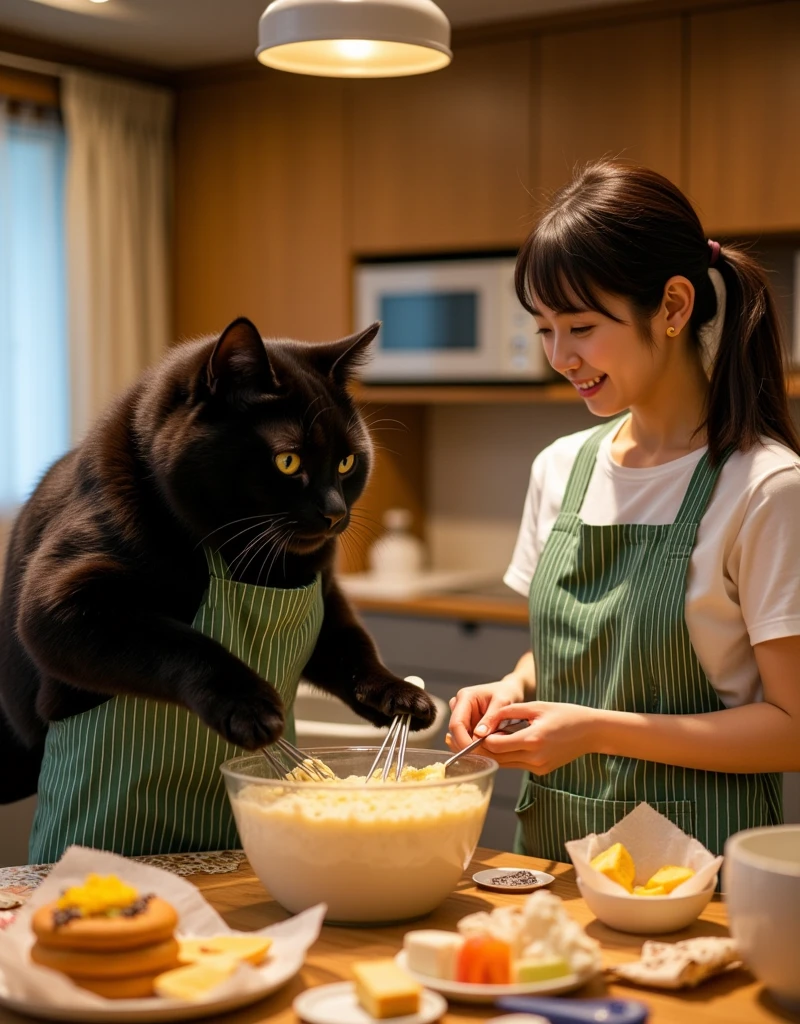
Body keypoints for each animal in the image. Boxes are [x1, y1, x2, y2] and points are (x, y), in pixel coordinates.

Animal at [0, 315, 434, 802]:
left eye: (347, 462)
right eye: (288, 461)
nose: (335, 512)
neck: (256, 562)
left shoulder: (324, 593)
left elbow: (353, 647)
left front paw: (401, 695)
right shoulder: (59, 603)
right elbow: (182, 642)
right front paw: (250, 707)